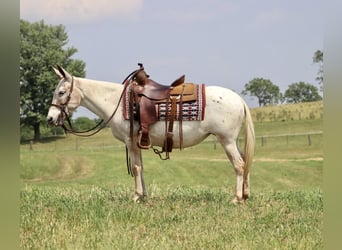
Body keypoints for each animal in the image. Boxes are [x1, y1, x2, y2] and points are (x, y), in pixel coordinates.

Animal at [46, 66, 254, 203]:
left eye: (61, 92)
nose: (50, 118)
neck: (116, 102)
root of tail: (238, 99)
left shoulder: (130, 141)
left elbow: (136, 168)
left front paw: (136, 196)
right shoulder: (137, 142)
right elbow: (141, 167)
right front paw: (143, 195)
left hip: (226, 140)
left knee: (239, 164)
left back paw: (236, 198)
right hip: (232, 141)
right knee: (245, 162)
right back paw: (245, 195)